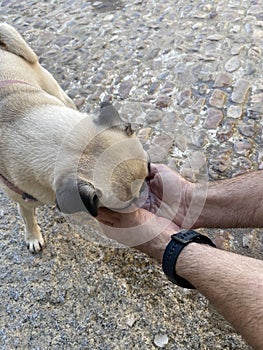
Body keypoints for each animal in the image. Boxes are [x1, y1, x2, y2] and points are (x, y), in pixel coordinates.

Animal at [0, 23, 150, 252]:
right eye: (127, 204)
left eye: (149, 167)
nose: (145, 195)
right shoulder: (23, 201)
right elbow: (27, 217)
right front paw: (33, 236)